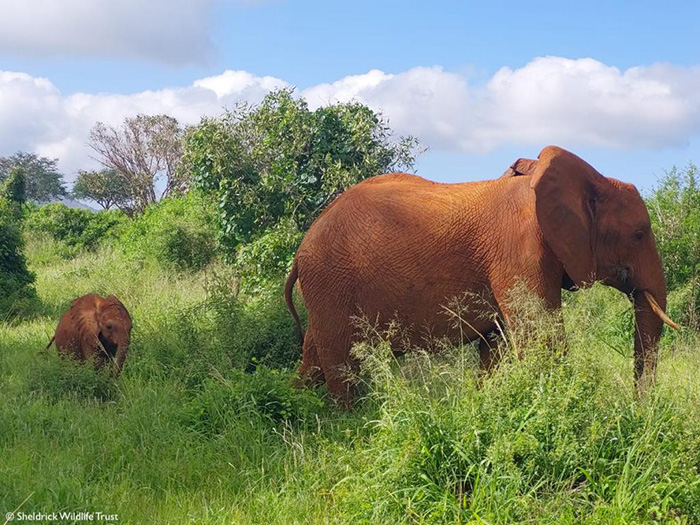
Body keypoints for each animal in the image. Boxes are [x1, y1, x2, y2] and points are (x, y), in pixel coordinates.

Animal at [286, 145, 680, 404]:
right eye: (639, 234)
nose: (639, 407)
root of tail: (301, 251)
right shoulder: (518, 248)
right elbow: (540, 338)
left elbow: (497, 344)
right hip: (331, 280)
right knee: (341, 362)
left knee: (315, 358)